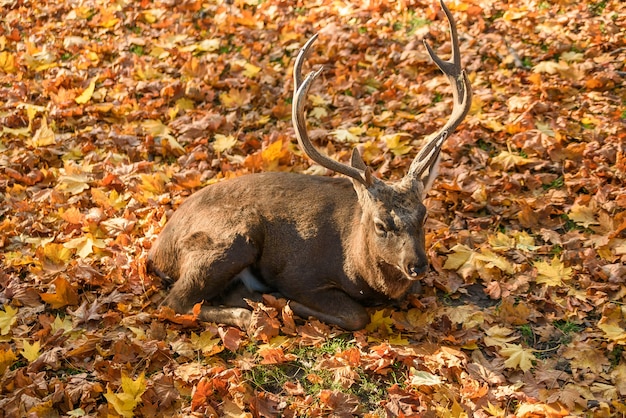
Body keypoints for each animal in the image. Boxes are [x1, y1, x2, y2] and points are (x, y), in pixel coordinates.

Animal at [146, 0, 468, 334]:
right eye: (380, 224)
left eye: (424, 216)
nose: (417, 266)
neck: (357, 266)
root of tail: (157, 252)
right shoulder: (299, 274)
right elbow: (357, 315)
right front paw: (287, 304)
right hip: (232, 236)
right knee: (175, 302)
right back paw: (250, 314)